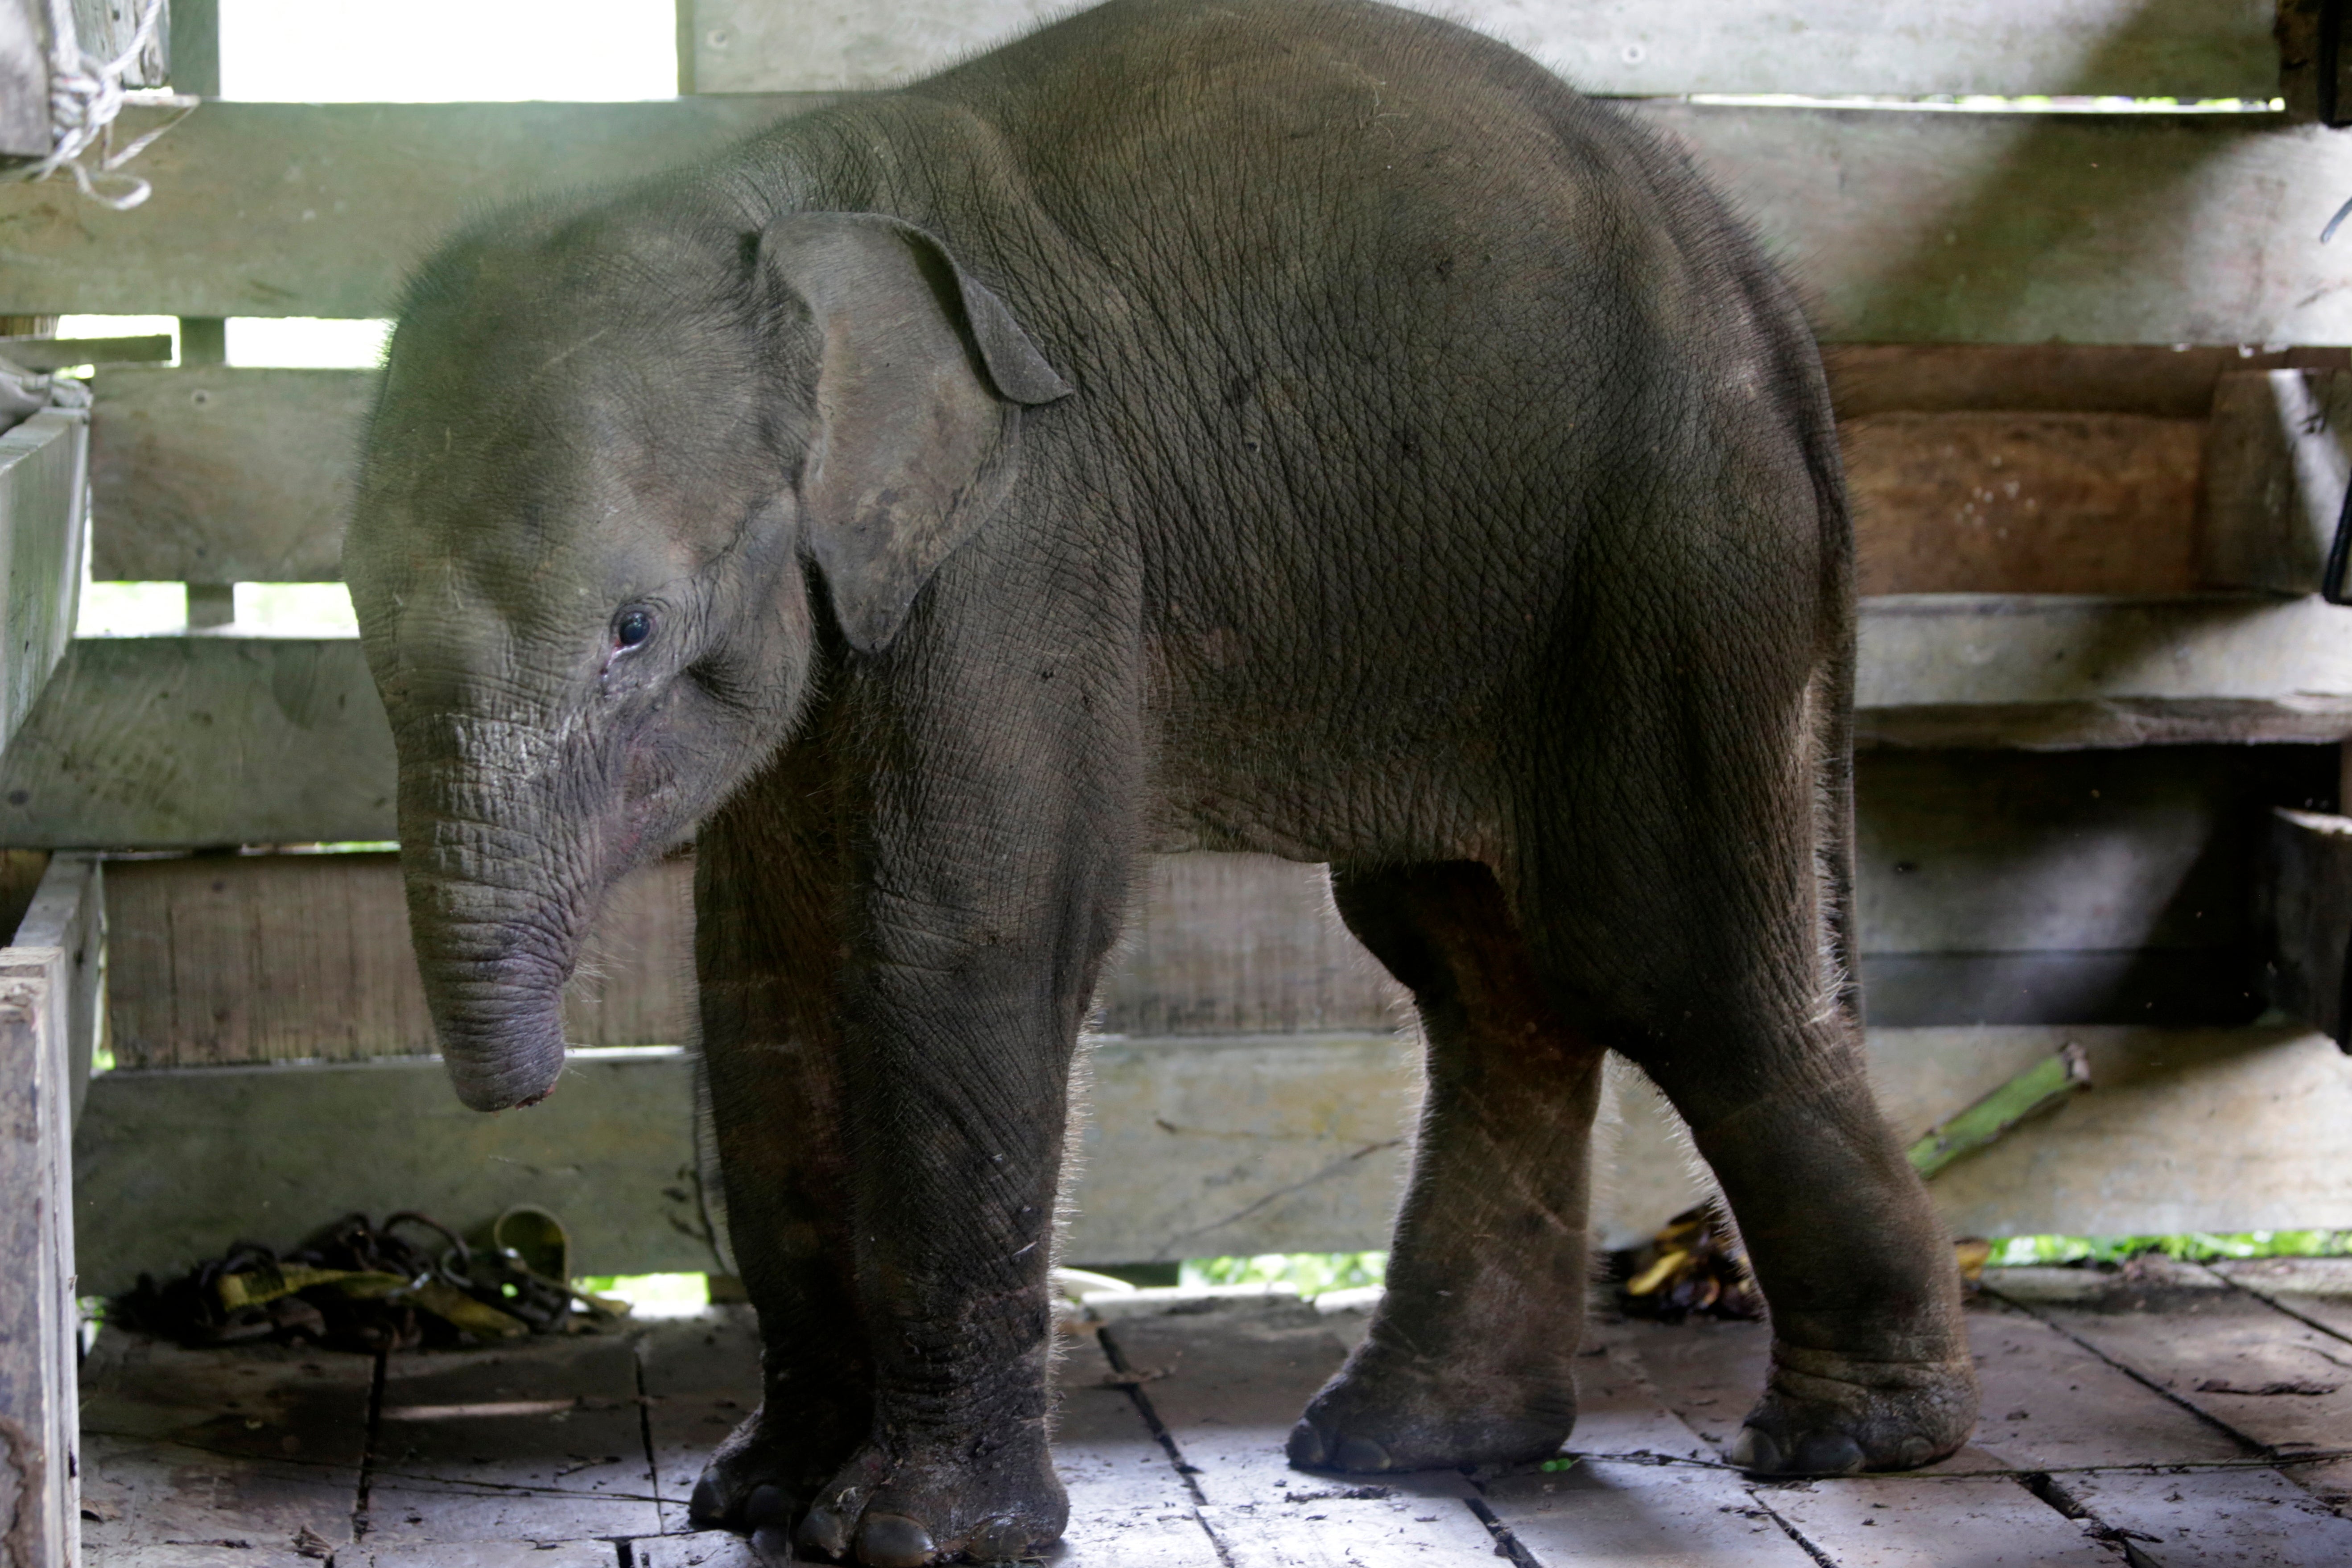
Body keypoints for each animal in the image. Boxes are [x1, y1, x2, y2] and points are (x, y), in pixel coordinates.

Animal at [341, 0, 1976, 1561]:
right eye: (355, 607)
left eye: (632, 628)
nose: (523, 1117)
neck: (755, 196)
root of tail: (1763, 287)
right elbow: (762, 982)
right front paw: (756, 1498)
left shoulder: (1030, 533)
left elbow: (956, 944)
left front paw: (908, 1536)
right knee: (1477, 967)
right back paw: (1414, 1440)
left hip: (1679, 549)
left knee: (1669, 962)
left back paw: (1855, 1440)